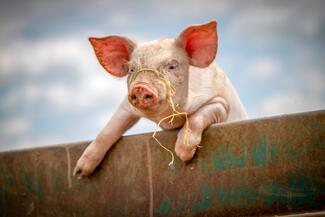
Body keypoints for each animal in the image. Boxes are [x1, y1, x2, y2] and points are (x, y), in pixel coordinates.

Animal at [73, 19, 246, 178]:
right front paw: (79, 172)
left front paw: (183, 155)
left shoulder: (221, 103)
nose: (141, 87)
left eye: (172, 66)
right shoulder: (126, 106)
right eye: (131, 69)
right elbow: (108, 130)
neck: (169, 120)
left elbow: (196, 118)